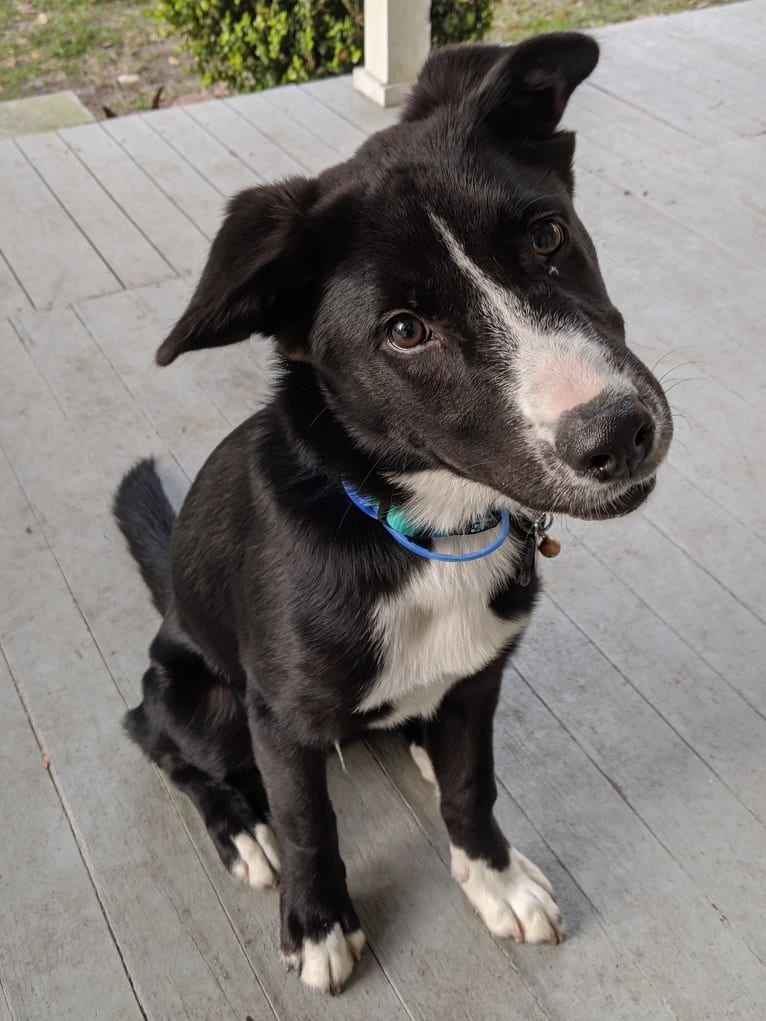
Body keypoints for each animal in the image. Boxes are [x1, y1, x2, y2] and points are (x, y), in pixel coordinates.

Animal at [113, 33, 669, 996]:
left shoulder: (482, 677)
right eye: (404, 330)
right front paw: (316, 921)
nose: (621, 433)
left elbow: (471, 786)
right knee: (159, 739)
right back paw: (240, 825)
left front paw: (494, 878)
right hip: (199, 698)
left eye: (547, 234)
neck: (425, 533)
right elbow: (310, 824)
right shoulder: (278, 717)